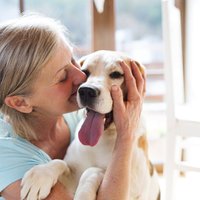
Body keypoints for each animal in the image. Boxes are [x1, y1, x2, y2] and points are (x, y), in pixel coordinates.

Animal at [21, 50, 160, 200]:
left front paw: (84, 194)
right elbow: (60, 162)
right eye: (85, 72)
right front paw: (40, 175)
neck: (102, 139)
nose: (87, 91)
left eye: (116, 74)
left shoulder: (133, 188)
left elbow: (93, 170)